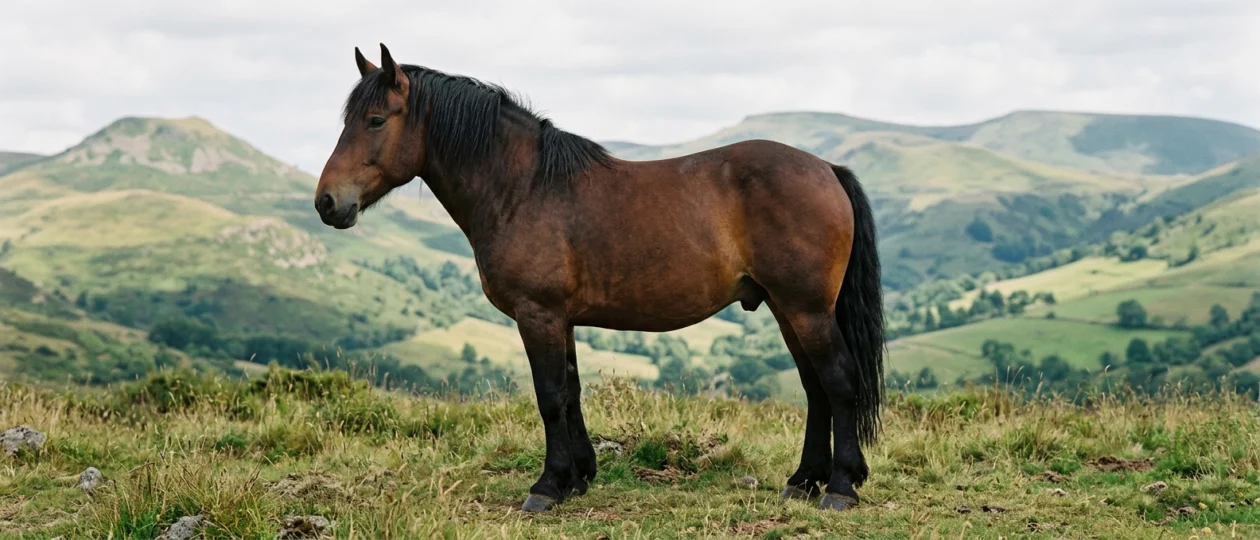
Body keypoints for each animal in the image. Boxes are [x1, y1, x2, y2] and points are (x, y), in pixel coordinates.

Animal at [314, 44, 887, 513]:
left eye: (374, 120)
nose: (327, 202)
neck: (524, 189)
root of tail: (826, 169)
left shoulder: (538, 315)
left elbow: (549, 396)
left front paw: (547, 487)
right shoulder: (560, 319)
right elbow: (570, 391)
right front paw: (578, 477)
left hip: (806, 308)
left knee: (838, 381)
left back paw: (839, 488)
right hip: (787, 309)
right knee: (815, 387)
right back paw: (803, 481)